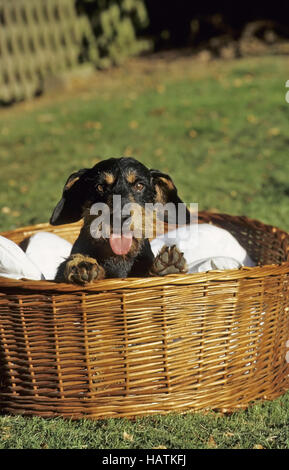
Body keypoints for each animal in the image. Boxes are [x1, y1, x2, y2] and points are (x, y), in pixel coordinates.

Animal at [50, 156, 189, 284]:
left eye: (139, 185)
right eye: (100, 187)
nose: (120, 218)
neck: (119, 258)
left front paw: (168, 266)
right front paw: (81, 263)